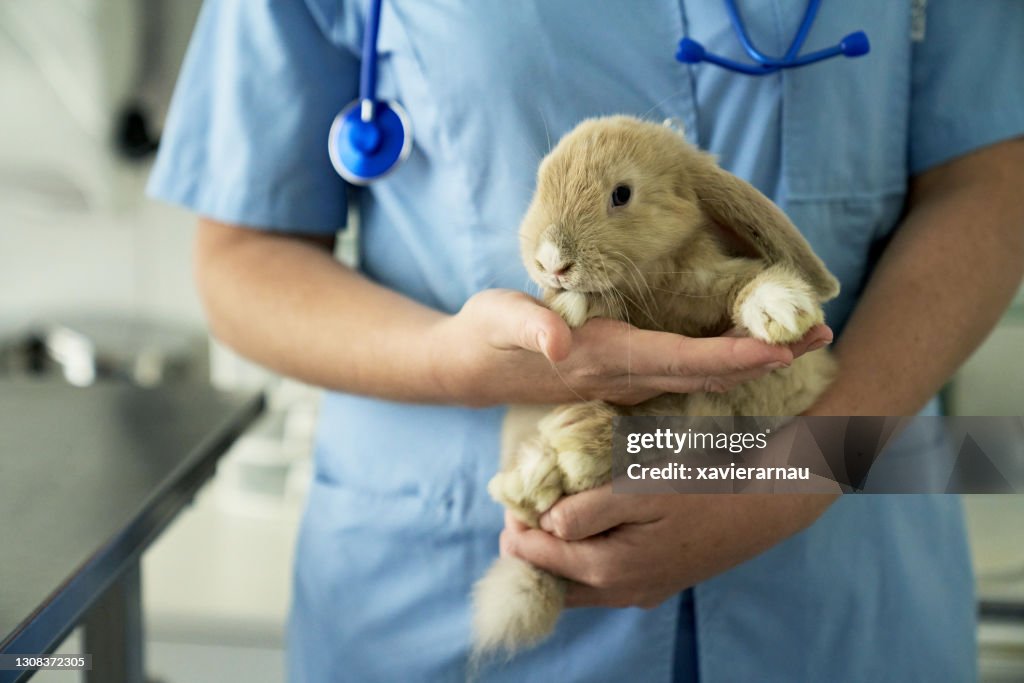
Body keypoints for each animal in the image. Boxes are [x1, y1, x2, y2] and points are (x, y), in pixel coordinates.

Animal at [471, 115, 840, 661]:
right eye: (541, 183)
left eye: (621, 194)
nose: (551, 262)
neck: (654, 287)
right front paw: (570, 305)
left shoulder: (712, 287)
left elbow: (744, 287)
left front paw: (782, 309)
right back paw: (542, 472)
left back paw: (568, 454)